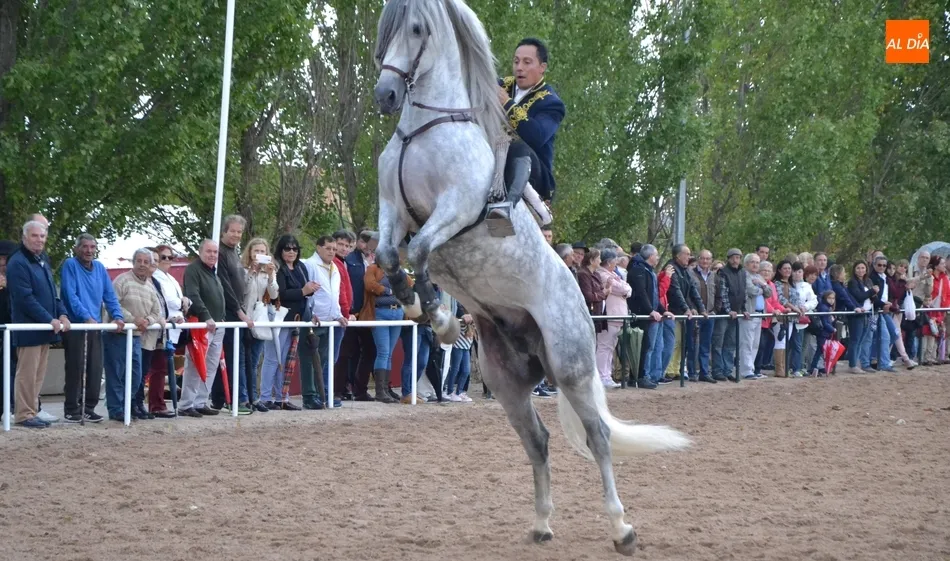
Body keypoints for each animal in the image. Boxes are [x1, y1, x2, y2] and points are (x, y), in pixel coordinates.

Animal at [371, 0, 690, 554]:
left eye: (414, 29)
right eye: (384, 29)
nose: (386, 94)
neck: (425, 130)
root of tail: (582, 306)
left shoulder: (454, 209)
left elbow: (421, 249)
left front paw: (440, 318)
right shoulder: (392, 210)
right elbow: (390, 255)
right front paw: (418, 305)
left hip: (570, 366)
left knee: (598, 437)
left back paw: (622, 529)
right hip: (507, 381)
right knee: (537, 440)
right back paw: (542, 523)